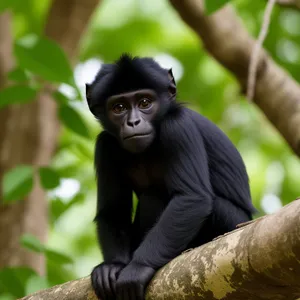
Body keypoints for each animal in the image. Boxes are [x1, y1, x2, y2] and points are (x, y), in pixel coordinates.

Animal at [85, 54, 255, 300]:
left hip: (231, 220)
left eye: (145, 103)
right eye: (119, 107)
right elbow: (112, 212)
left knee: (155, 197)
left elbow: (191, 197)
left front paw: (138, 268)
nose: (133, 122)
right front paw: (112, 267)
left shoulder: (177, 125)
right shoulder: (105, 145)